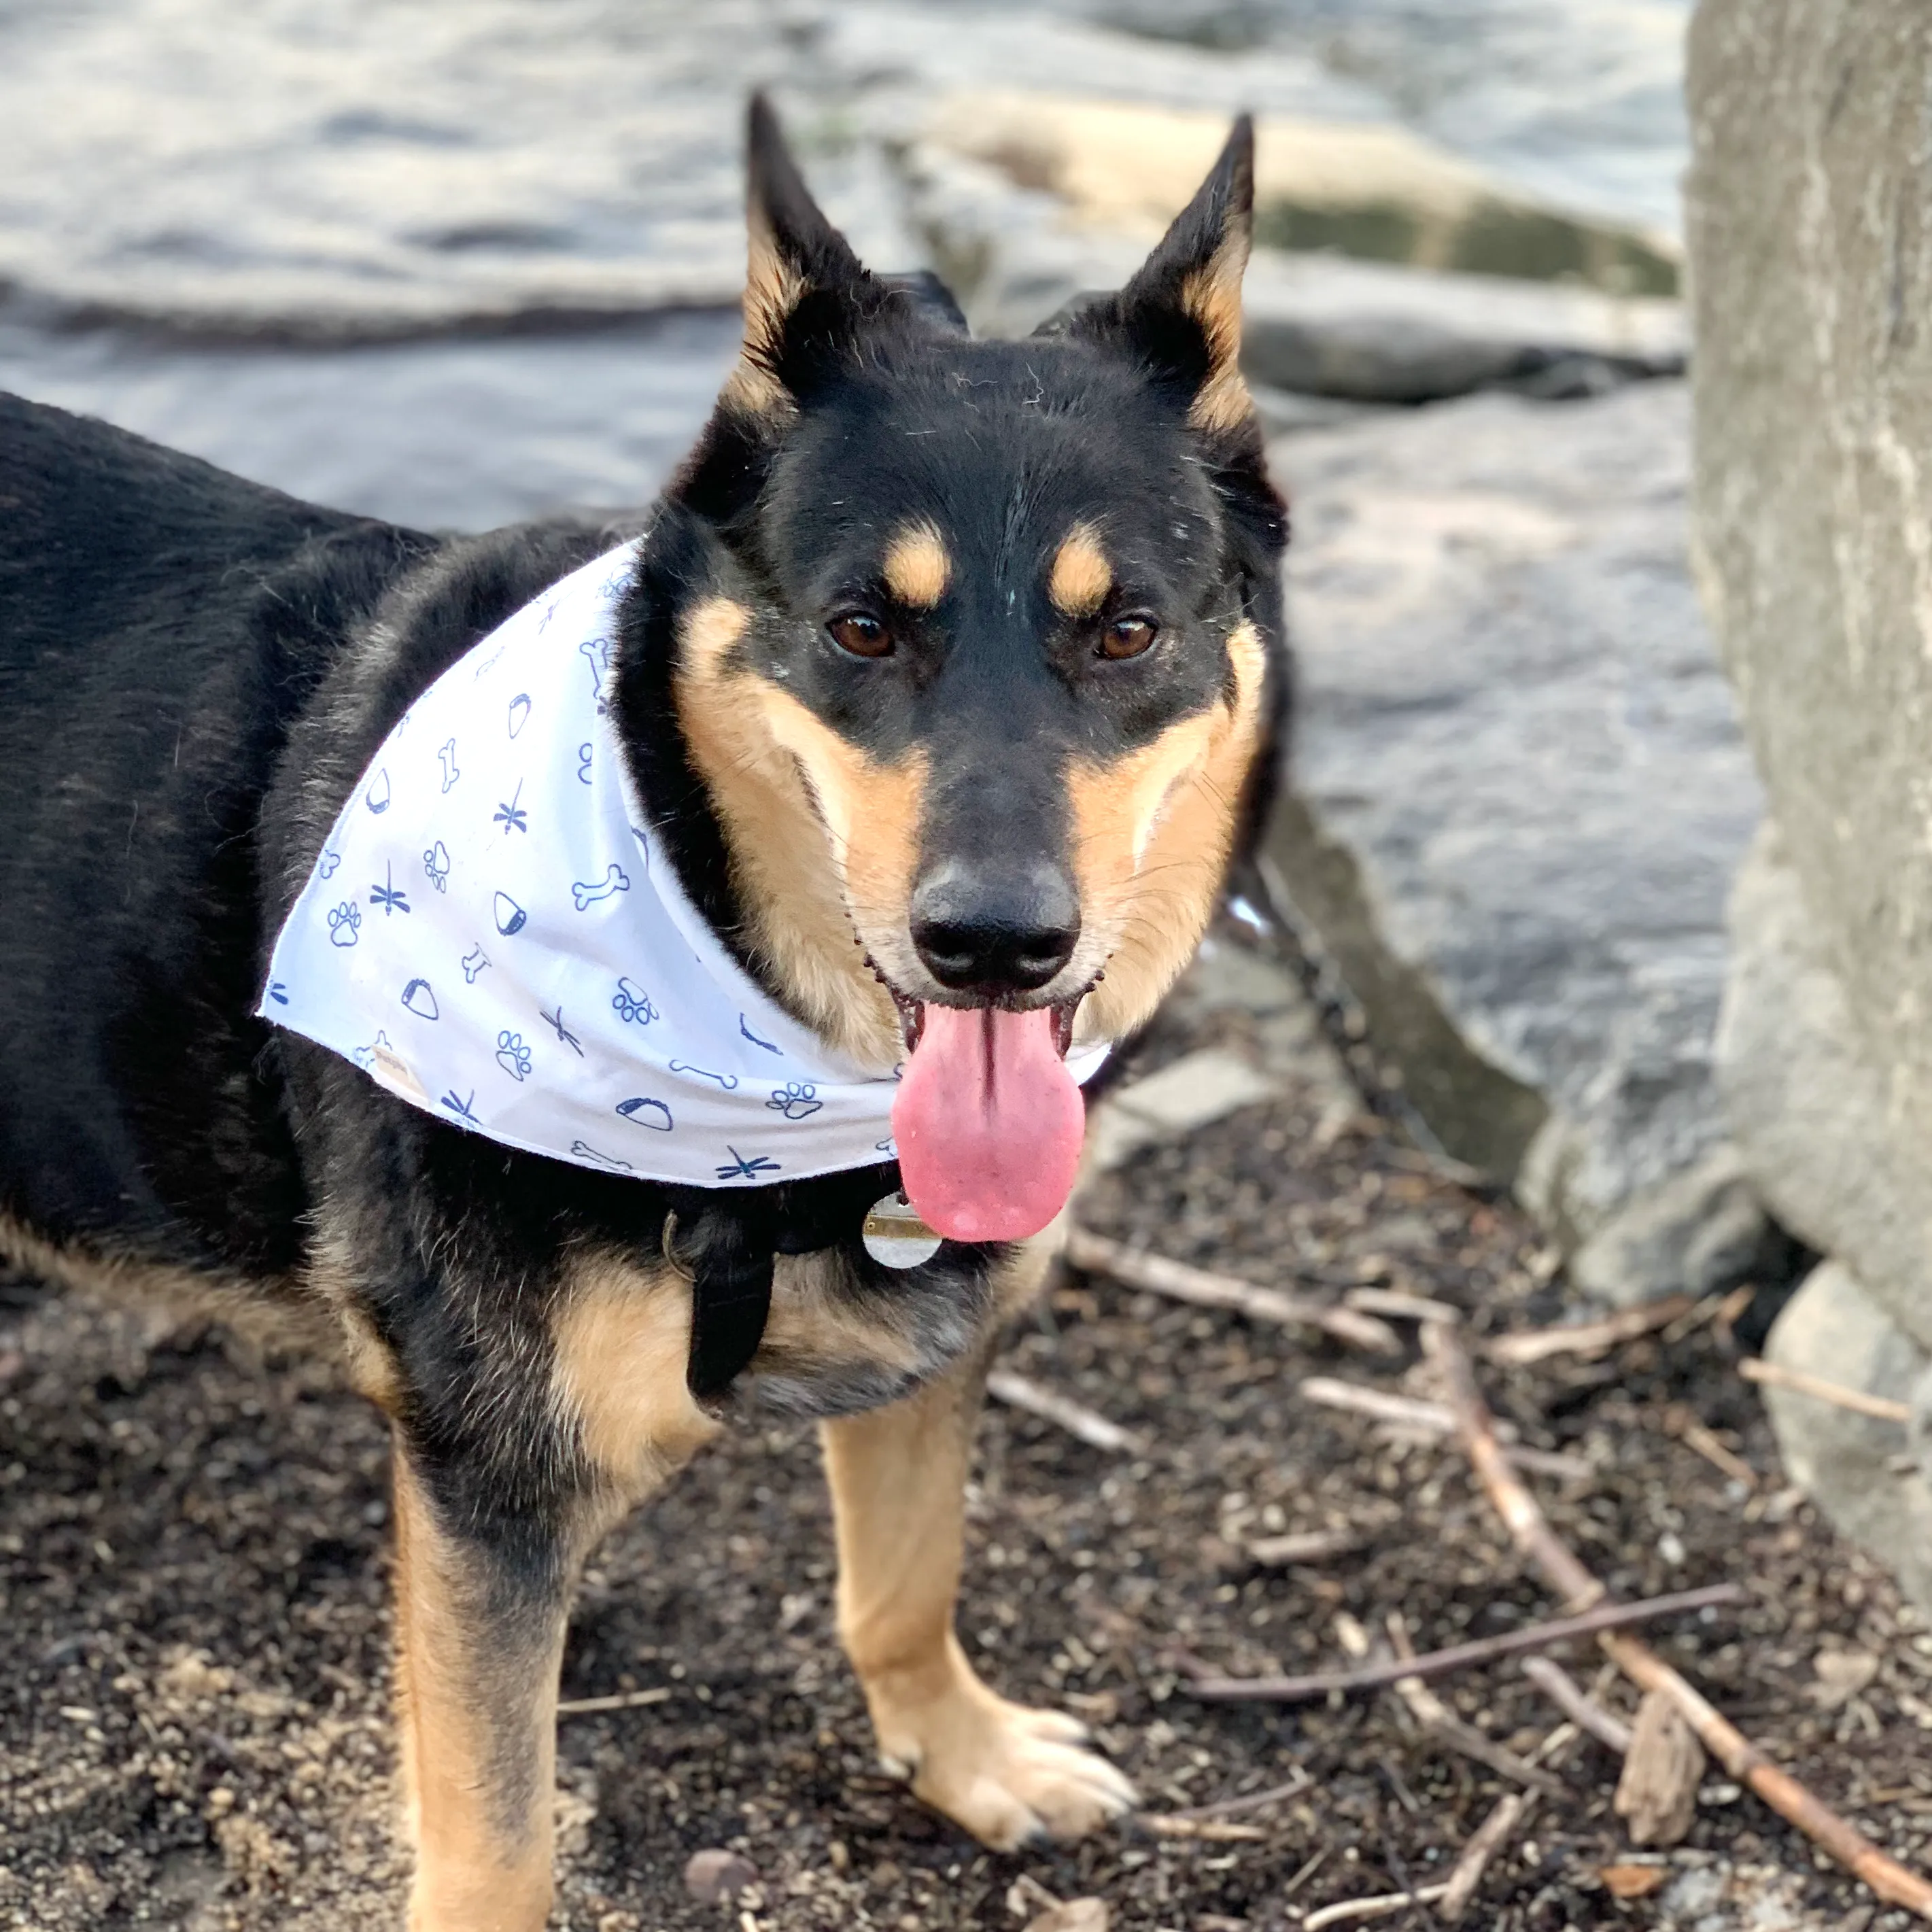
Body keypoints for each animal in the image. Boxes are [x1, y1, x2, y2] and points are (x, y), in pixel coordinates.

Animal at [3, 94, 1298, 1932]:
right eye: (859, 627)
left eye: (1126, 631)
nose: (992, 946)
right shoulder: (487, 1488)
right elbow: (495, 1831)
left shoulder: (930, 1348)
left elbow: (901, 1587)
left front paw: (962, 1756)